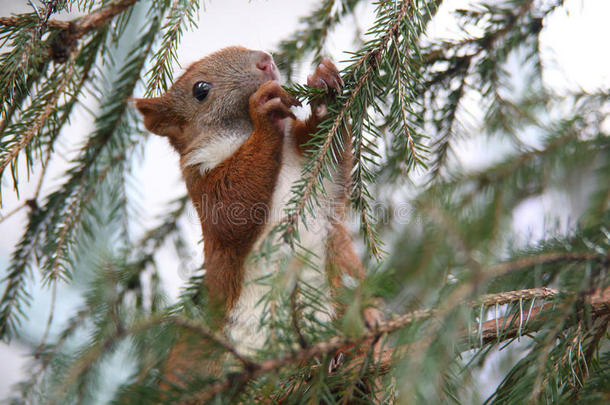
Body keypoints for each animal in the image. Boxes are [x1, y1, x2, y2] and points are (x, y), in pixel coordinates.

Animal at [135, 47, 378, 378]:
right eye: (201, 89)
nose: (265, 61)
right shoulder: (203, 188)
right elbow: (232, 210)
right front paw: (263, 109)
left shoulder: (309, 169)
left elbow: (326, 158)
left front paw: (324, 85)